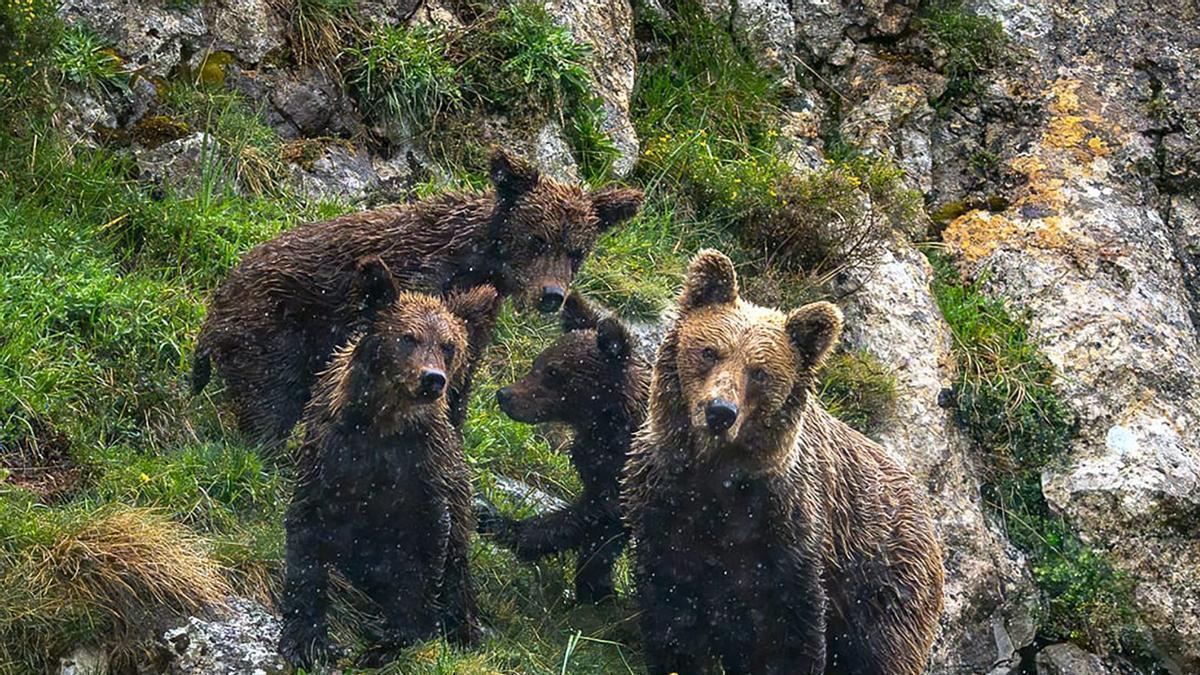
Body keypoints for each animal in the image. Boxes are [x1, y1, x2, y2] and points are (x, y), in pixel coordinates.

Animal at [192, 149, 643, 448]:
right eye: (537, 239)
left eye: (577, 251)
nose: (552, 295)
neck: (478, 263)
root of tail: (221, 294)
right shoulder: (418, 283)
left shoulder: (474, 318)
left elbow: (461, 373)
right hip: (275, 325)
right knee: (271, 392)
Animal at [278, 256, 501, 669]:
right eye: (408, 337)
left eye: (449, 346)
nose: (432, 379)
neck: (382, 426)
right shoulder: (331, 457)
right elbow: (307, 538)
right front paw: (306, 639)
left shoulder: (422, 475)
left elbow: (422, 559)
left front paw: (392, 639)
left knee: (456, 579)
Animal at [478, 293, 649, 603]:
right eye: (538, 362)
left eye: (553, 371)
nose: (504, 394)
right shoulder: (602, 470)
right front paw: (594, 590)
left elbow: (587, 520)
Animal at [622, 249, 944, 675]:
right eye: (710, 351)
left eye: (760, 371)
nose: (720, 412)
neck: (716, 476)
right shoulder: (664, 506)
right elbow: (671, 605)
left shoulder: (787, 532)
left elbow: (787, 630)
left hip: (885, 586)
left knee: (881, 653)